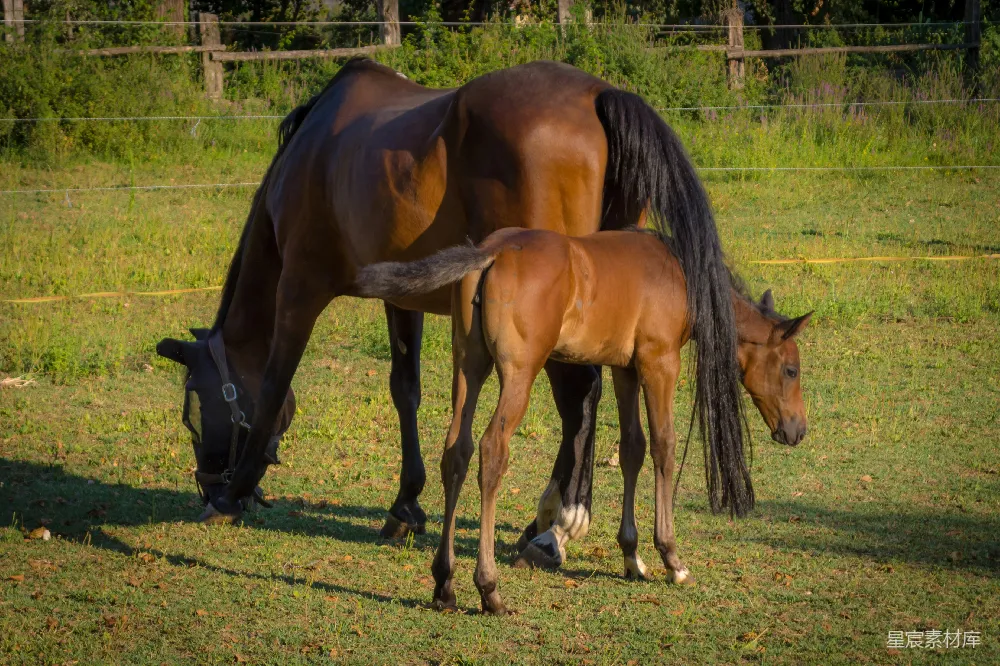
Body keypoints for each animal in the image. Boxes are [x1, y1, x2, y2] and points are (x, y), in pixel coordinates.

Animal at [152, 57, 732, 566]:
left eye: (193, 409)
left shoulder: (298, 289)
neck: (312, 150)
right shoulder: (399, 298)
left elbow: (274, 383)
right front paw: (405, 504)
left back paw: (556, 527)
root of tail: (598, 94)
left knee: (577, 395)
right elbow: (404, 389)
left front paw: (236, 492)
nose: (207, 486)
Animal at [354, 227, 811, 613]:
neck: (679, 275)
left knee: (457, 452)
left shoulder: (625, 369)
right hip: (519, 372)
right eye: (791, 369)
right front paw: (671, 558)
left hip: (469, 365)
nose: (797, 430)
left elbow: (632, 448)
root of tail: (492, 251)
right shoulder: (659, 361)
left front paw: (632, 556)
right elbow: (663, 445)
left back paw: (444, 584)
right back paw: (489, 590)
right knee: (491, 450)